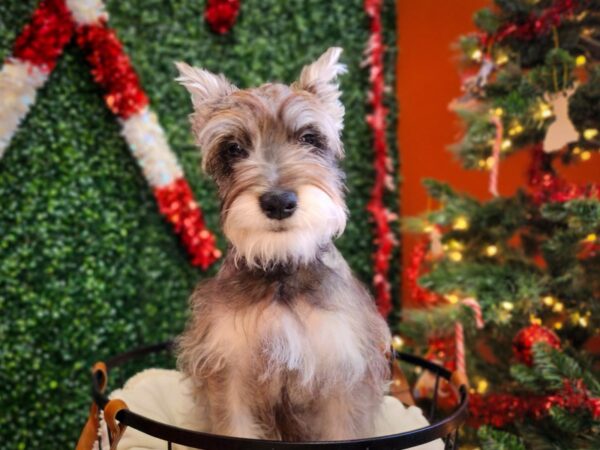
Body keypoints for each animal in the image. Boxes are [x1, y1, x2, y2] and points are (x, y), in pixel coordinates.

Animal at [175, 47, 390, 442]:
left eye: (309, 138)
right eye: (233, 148)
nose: (278, 202)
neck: (282, 274)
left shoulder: (343, 373)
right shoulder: (228, 371)